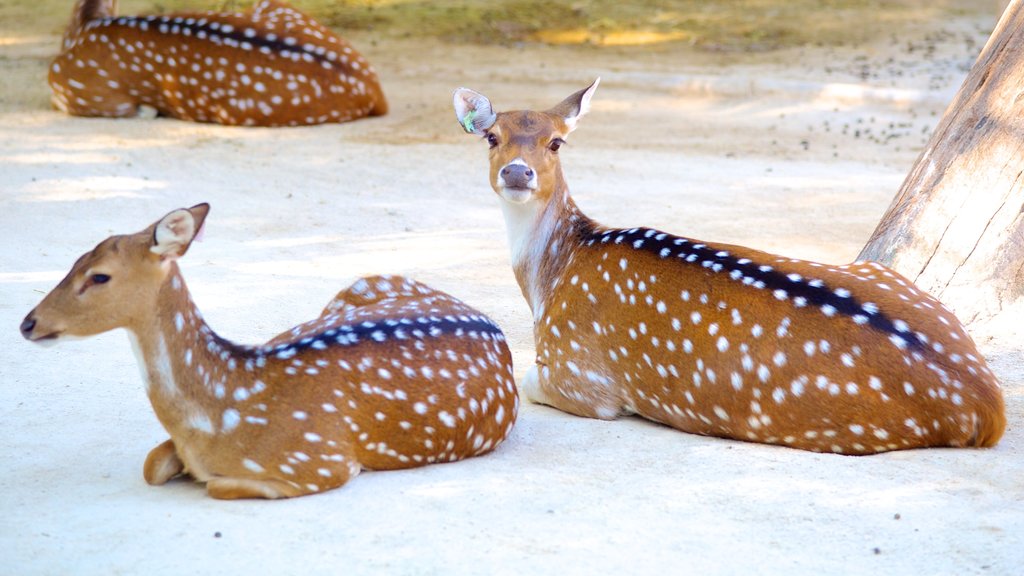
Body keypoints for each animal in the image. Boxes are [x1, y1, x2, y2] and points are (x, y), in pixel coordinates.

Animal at [22, 203, 520, 496]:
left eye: (99, 275)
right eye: (75, 260)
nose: (28, 323)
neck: (217, 419)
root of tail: (493, 326)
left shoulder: (322, 463)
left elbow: (215, 486)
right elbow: (152, 463)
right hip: (357, 285)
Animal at [456, 78, 1007, 453]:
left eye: (556, 142)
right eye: (492, 137)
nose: (517, 172)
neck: (552, 277)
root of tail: (991, 406)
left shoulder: (583, 377)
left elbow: (530, 379)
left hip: (845, 422)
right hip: (888, 275)